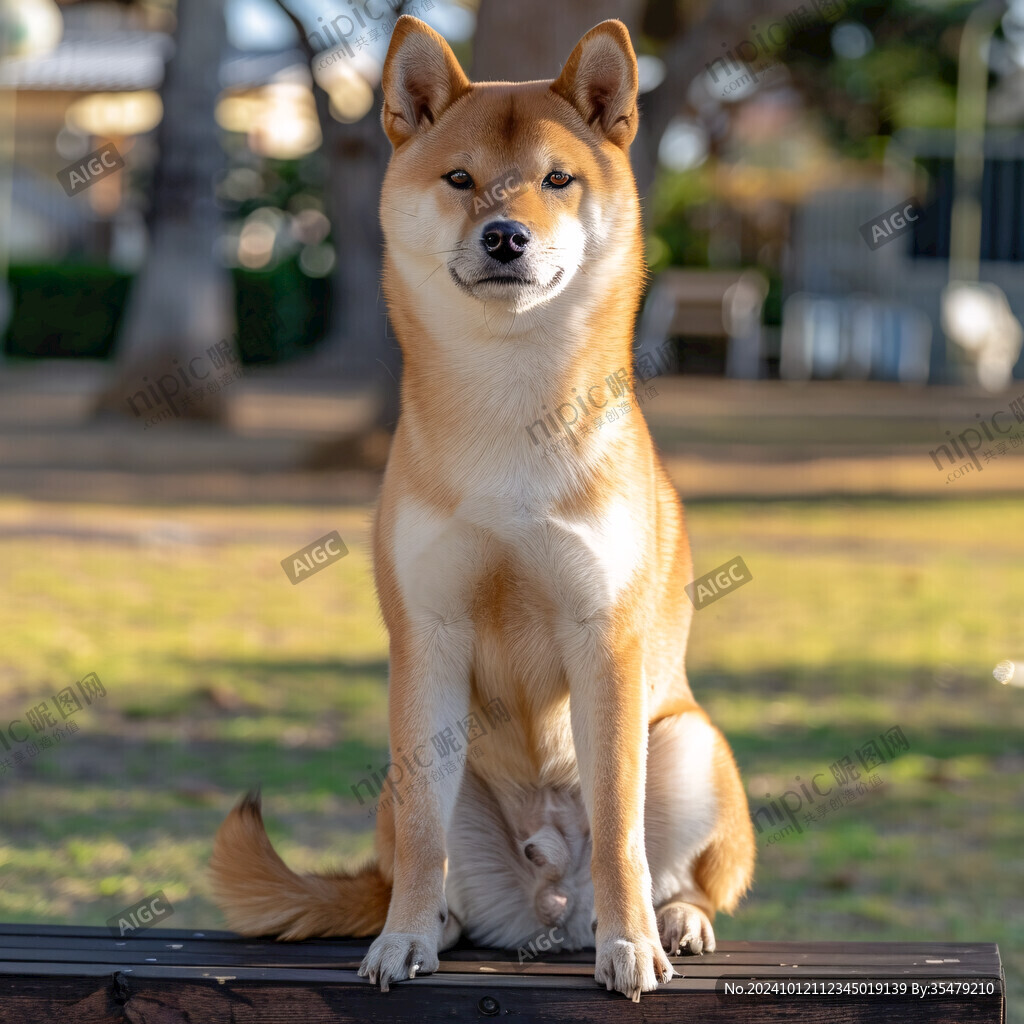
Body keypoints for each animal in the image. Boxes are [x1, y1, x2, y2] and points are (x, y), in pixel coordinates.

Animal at [207, 16, 753, 1003]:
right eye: (460, 179)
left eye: (558, 179)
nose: (505, 236)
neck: (510, 413)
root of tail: (548, 912)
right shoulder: (429, 636)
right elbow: (426, 838)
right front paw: (401, 939)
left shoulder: (604, 638)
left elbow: (619, 824)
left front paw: (630, 944)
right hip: (408, 768)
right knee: (417, 857)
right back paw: (439, 923)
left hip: (691, 743)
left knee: (684, 869)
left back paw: (671, 920)